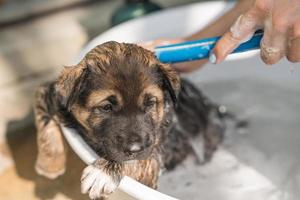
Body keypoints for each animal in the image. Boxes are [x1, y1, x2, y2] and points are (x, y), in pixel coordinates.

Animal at [33, 41, 230, 199]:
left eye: (150, 103)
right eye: (106, 107)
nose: (135, 148)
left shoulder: (152, 159)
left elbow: (136, 161)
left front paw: (102, 172)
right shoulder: (50, 93)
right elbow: (44, 118)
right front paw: (49, 165)